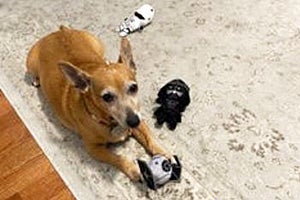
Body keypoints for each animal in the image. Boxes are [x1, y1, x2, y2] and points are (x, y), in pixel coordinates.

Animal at [26, 26, 169, 181]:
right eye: (107, 97)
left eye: (134, 88)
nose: (133, 121)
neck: (111, 122)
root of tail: (59, 31)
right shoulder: (94, 149)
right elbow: (117, 158)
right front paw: (134, 169)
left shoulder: (140, 121)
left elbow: (150, 139)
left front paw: (165, 154)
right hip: (30, 64)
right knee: (33, 74)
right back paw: (36, 80)